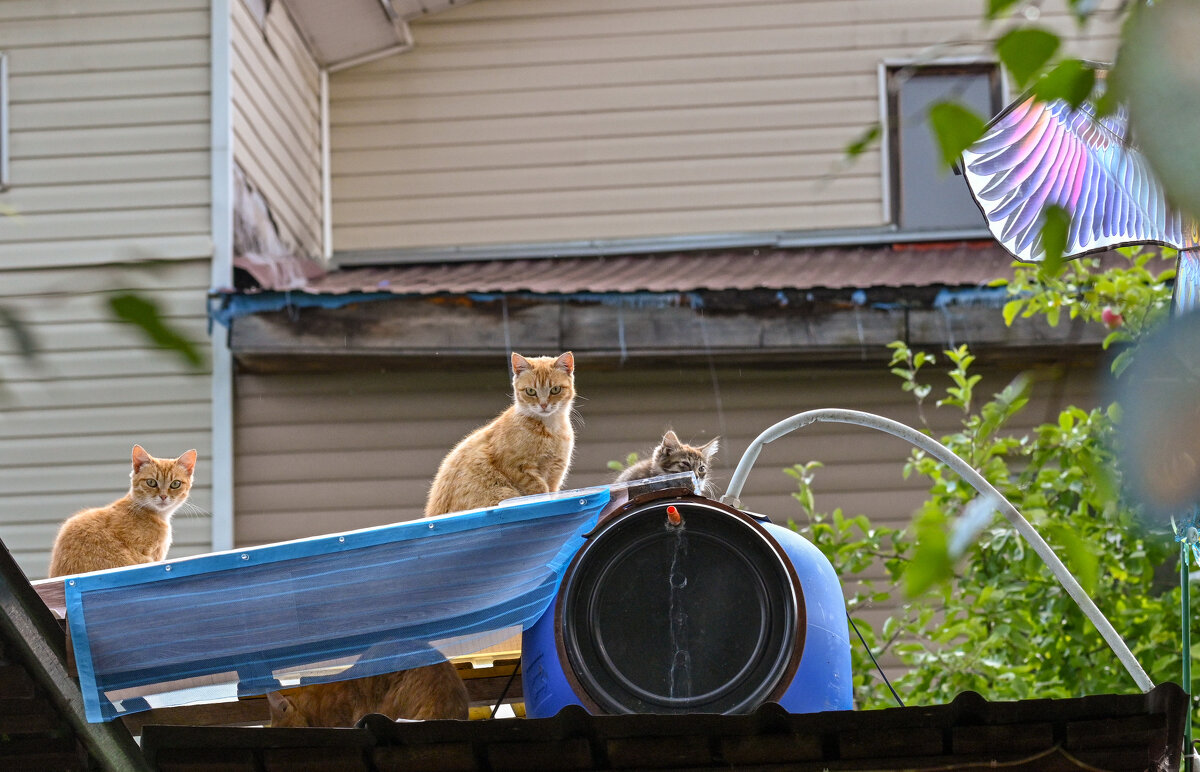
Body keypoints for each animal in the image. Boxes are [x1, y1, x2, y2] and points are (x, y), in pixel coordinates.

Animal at [424, 352, 578, 516]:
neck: (550, 429)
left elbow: (551, 492)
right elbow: (540, 490)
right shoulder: (517, 468)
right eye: (530, 391)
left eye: (555, 389)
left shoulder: (555, 473)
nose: (543, 405)